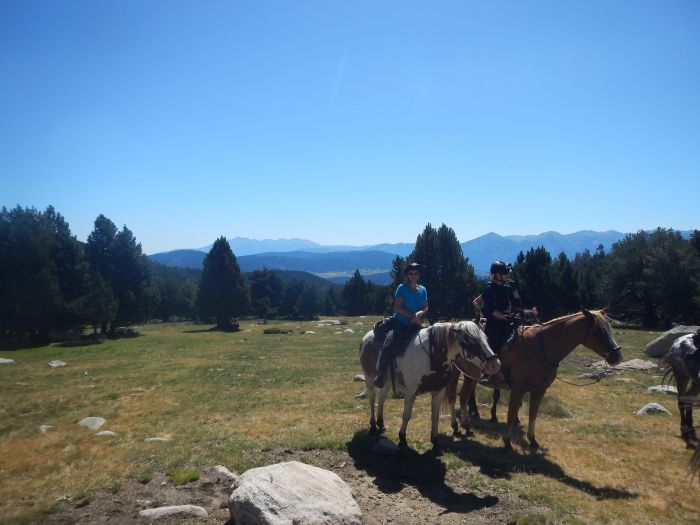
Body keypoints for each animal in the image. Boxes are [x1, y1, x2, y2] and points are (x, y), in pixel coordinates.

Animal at [358, 320, 500, 450]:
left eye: (485, 338)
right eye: (470, 341)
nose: (495, 365)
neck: (432, 356)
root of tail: (368, 336)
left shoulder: (439, 391)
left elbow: (435, 416)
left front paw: (435, 440)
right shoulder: (410, 391)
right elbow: (406, 415)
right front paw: (402, 439)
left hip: (386, 382)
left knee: (381, 398)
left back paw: (381, 424)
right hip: (369, 377)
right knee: (372, 399)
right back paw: (373, 426)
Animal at [446, 308, 620, 450]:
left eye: (610, 328)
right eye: (597, 330)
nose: (617, 356)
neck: (540, 347)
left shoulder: (539, 390)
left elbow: (532, 414)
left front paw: (532, 440)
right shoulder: (518, 389)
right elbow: (511, 413)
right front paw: (507, 441)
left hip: (470, 378)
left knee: (463, 396)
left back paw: (466, 426)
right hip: (460, 375)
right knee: (456, 397)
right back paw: (459, 425)